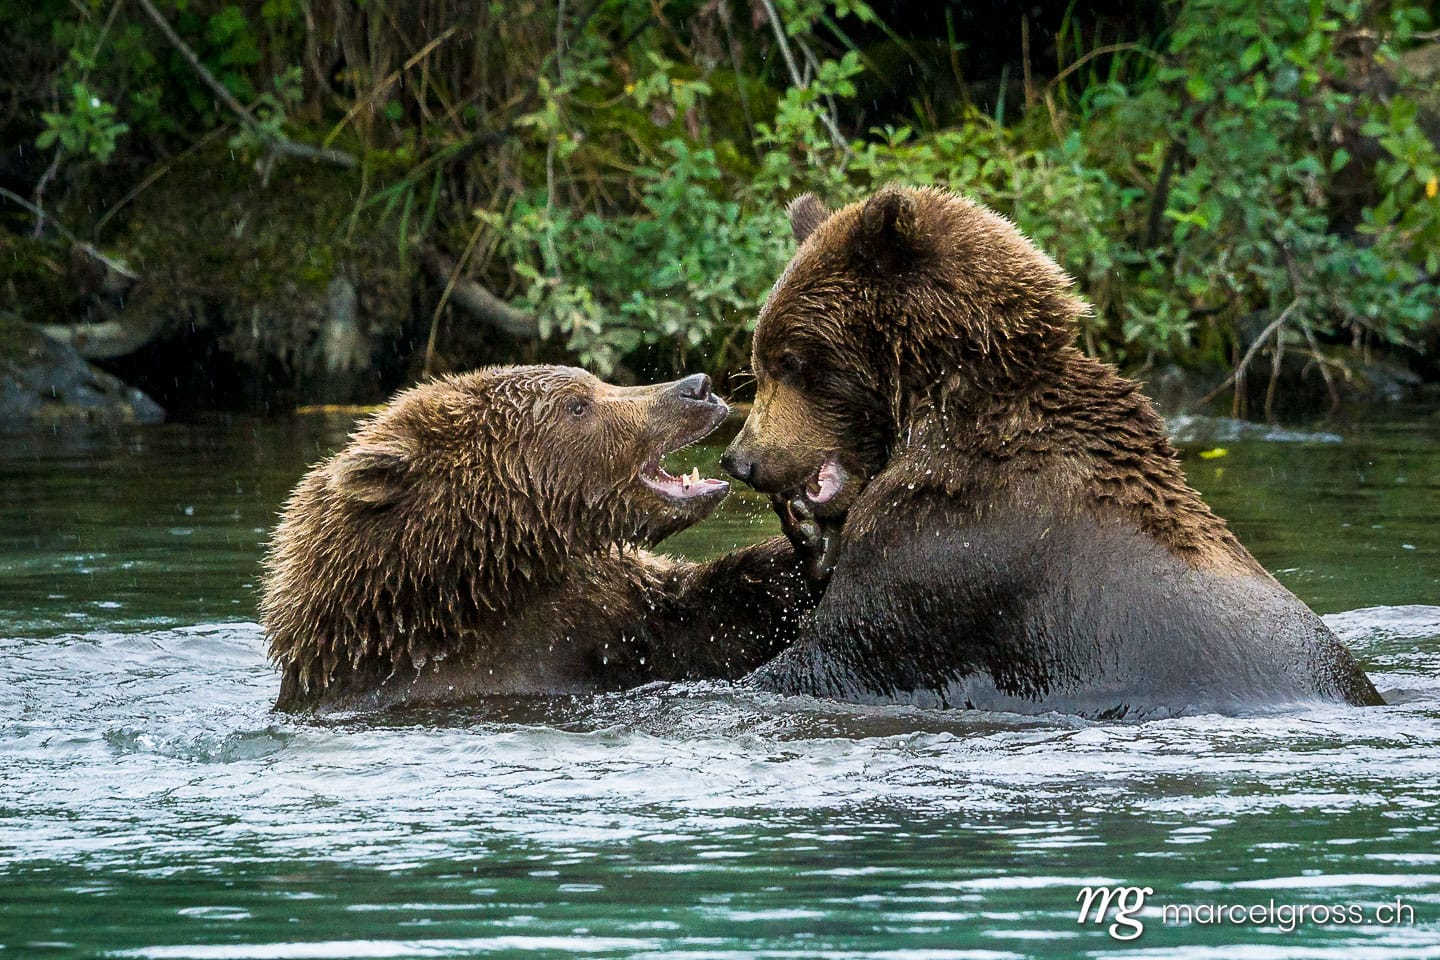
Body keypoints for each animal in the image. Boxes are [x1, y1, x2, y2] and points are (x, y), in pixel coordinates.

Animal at [720, 185, 1383, 718]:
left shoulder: (959, 546)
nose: (742, 460)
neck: (946, 405)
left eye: (791, 359)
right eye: (760, 359)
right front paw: (805, 540)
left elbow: (840, 646)